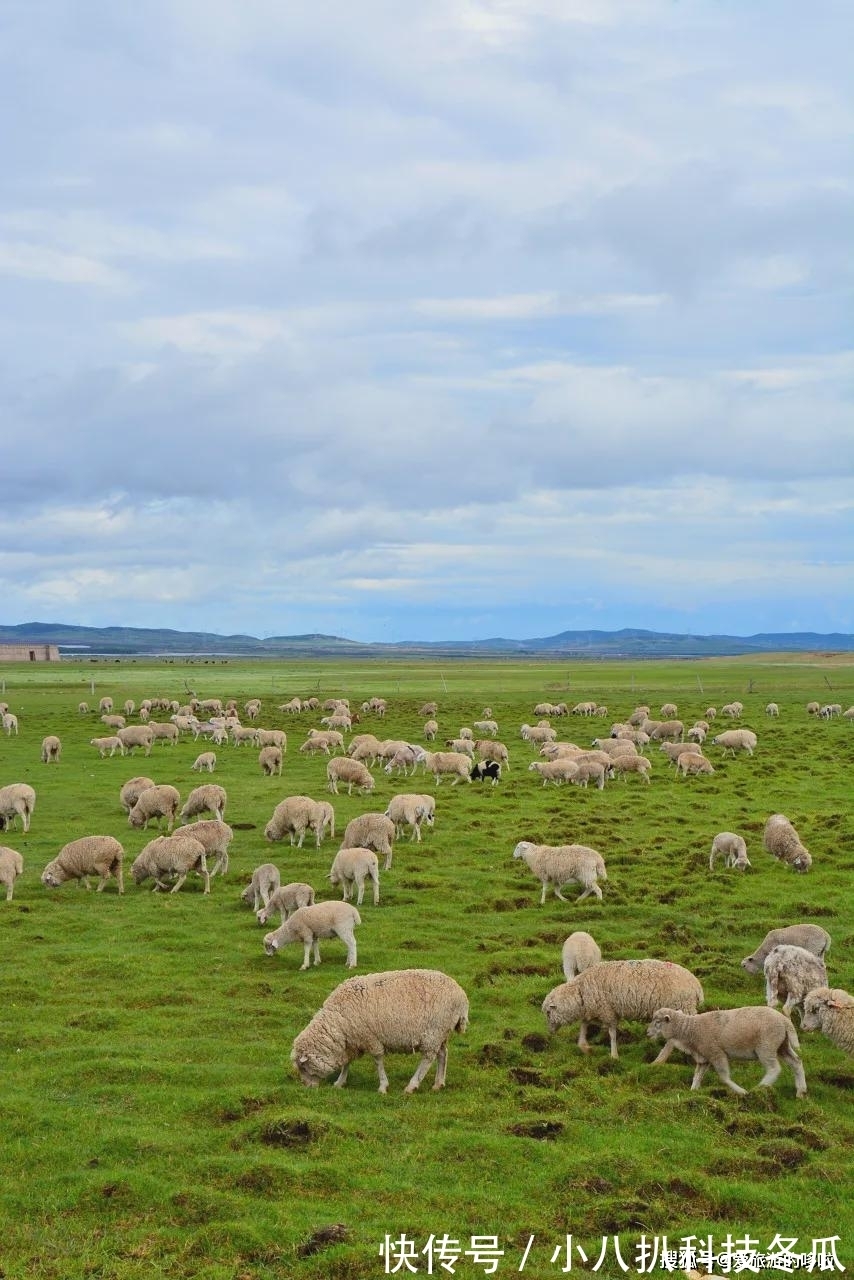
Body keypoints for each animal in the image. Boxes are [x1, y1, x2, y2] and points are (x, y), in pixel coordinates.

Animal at [291, 962, 468, 1095]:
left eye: (303, 1067)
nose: (307, 1087)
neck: (338, 1020)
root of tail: (462, 996)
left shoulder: (369, 1038)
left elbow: (377, 1060)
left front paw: (383, 1086)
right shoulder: (352, 1041)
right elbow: (347, 1062)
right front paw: (340, 1082)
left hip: (433, 1032)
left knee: (428, 1058)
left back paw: (411, 1086)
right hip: (441, 1033)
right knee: (442, 1054)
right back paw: (438, 1084)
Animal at [545, 962, 706, 1059]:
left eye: (548, 1012)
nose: (550, 1032)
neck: (580, 992)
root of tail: (696, 987)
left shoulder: (607, 1011)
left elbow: (612, 1034)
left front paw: (614, 1055)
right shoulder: (593, 1010)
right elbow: (584, 1026)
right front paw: (585, 1048)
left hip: (682, 1007)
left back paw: (659, 1060)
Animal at [647, 1003, 809, 1095]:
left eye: (657, 1021)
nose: (647, 1032)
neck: (689, 1030)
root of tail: (785, 1021)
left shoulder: (716, 1053)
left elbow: (724, 1077)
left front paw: (741, 1091)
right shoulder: (704, 1057)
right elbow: (697, 1075)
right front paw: (693, 1091)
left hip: (766, 1046)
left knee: (774, 1068)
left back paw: (760, 1087)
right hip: (782, 1045)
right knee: (796, 1062)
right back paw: (801, 1092)